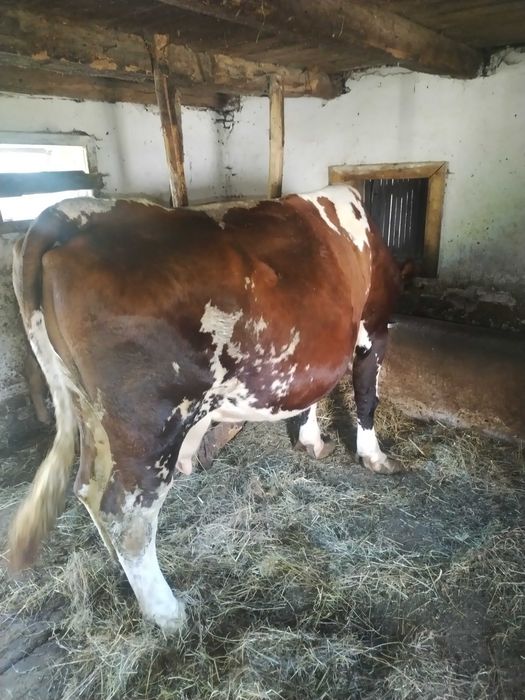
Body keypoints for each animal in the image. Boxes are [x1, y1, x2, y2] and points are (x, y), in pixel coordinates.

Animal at [8, 186, 405, 633]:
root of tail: (62, 214)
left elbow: (312, 397)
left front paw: (312, 443)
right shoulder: (374, 326)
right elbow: (367, 398)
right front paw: (375, 458)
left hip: (88, 411)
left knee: (87, 487)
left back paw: (115, 563)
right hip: (152, 424)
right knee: (127, 516)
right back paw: (167, 613)